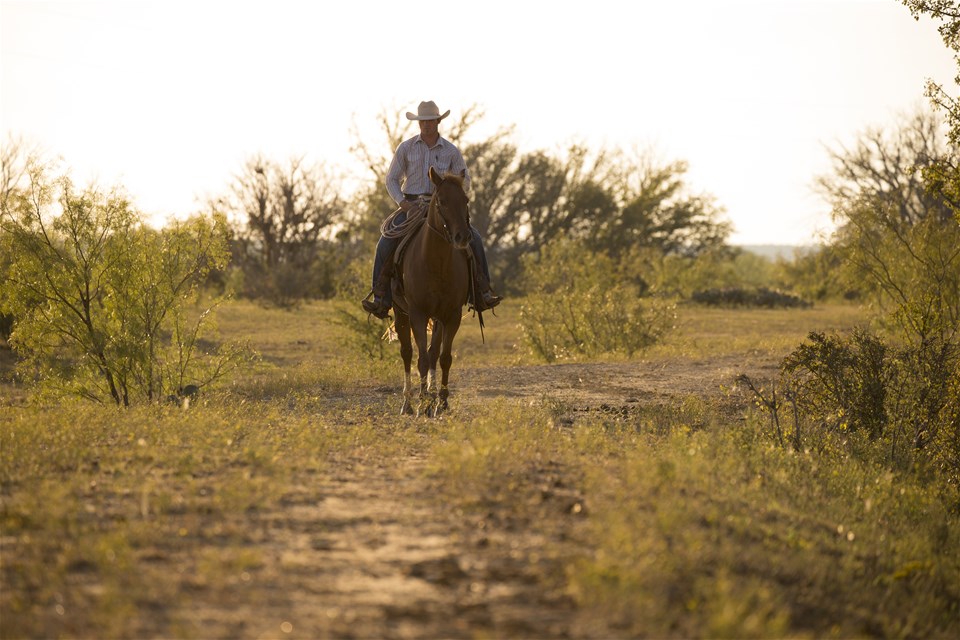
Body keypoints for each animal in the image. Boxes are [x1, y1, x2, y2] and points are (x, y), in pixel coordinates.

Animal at [390, 166, 472, 416]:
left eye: (465, 200)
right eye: (442, 201)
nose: (462, 237)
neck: (436, 263)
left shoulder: (451, 315)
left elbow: (443, 358)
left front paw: (441, 403)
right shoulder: (417, 313)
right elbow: (422, 360)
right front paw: (422, 402)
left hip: (437, 318)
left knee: (434, 353)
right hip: (400, 312)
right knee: (407, 352)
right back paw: (408, 403)